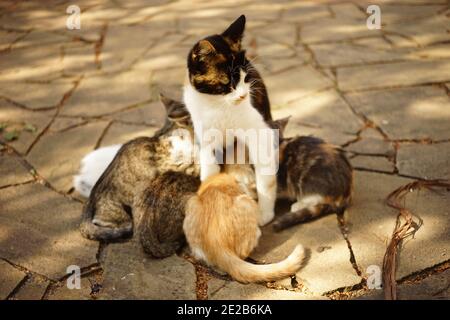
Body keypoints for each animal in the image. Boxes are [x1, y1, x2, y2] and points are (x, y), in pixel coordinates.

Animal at [184, 14, 278, 225]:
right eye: (227, 83)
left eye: (245, 78)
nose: (243, 95)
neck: (219, 105)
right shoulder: (206, 138)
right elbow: (209, 168)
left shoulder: (260, 132)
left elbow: (265, 176)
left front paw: (265, 213)